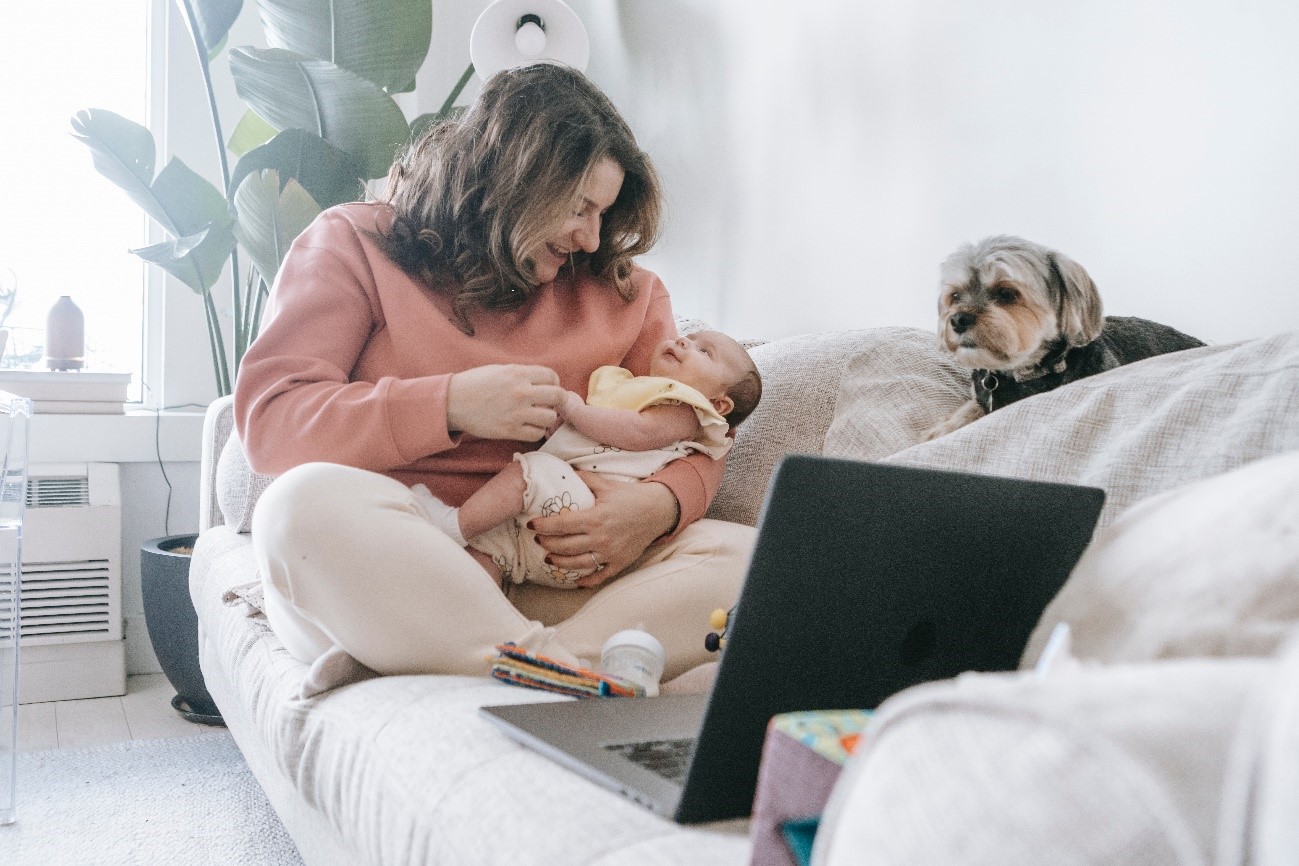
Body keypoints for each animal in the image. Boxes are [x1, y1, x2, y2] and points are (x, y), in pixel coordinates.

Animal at [930, 235, 1200, 441]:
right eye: (955, 296)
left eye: (1005, 293)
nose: (957, 319)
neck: (1022, 373)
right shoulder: (981, 397)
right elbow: (967, 410)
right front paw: (940, 430)